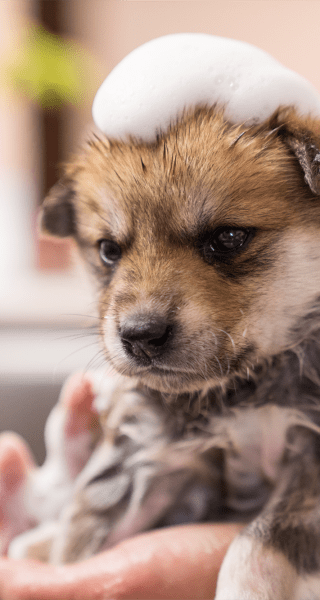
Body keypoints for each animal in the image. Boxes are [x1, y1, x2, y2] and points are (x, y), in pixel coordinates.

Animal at [8, 105, 320, 596]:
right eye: (108, 250)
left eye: (228, 237)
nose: (139, 335)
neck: (242, 391)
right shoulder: (148, 455)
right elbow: (82, 539)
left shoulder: (310, 459)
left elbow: (258, 544)